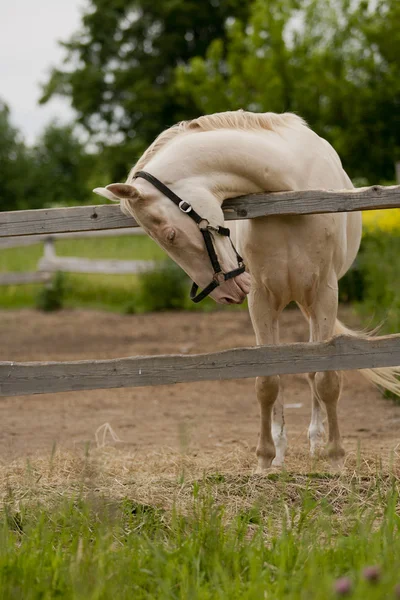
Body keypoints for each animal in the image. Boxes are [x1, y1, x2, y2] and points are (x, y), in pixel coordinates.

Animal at [94, 110, 400, 472]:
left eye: (170, 234)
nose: (225, 293)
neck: (291, 193)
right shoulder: (262, 299)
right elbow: (267, 380)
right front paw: (265, 460)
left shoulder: (325, 294)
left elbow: (325, 377)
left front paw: (335, 458)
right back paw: (282, 451)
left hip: (310, 305)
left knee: (312, 372)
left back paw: (315, 442)